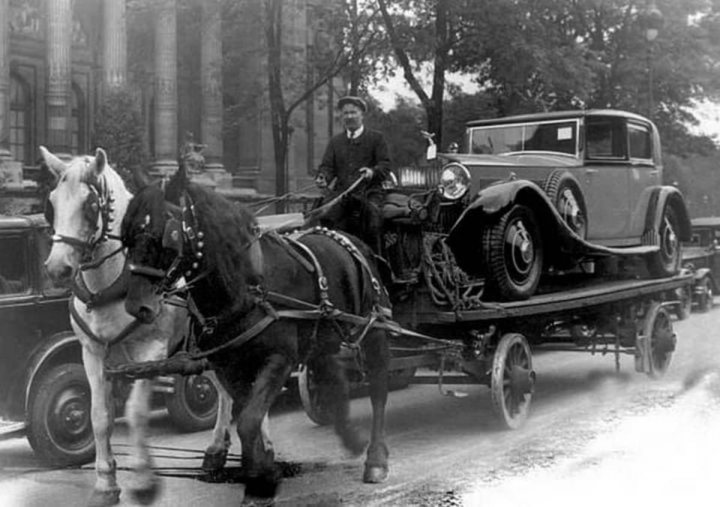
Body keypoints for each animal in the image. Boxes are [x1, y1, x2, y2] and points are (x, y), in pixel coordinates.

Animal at [40, 146, 233, 504]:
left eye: (91, 205)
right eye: (52, 203)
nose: (57, 268)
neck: (111, 282)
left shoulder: (150, 351)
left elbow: (135, 412)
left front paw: (144, 480)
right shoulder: (92, 351)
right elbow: (99, 415)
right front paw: (106, 483)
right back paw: (218, 447)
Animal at [119, 166, 388, 500]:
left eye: (165, 235)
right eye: (126, 237)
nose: (136, 305)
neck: (244, 287)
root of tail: (349, 238)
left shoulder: (278, 360)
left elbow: (248, 422)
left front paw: (258, 477)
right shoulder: (228, 365)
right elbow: (248, 415)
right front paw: (258, 467)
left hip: (374, 330)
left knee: (378, 390)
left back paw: (375, 458)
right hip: (321, 339)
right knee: (333, 376)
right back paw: (348, 435)